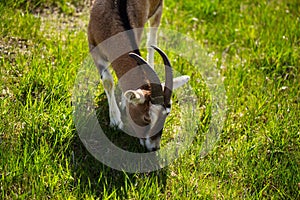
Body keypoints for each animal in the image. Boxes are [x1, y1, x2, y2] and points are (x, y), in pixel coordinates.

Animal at [88, 0, 189, 150]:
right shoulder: (93, 46)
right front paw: (116, 120)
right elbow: (107, 81)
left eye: (167, 115)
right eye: (147, 118)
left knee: (151, 42)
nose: (154, 147)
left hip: (158, 10)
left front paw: (123, 105)